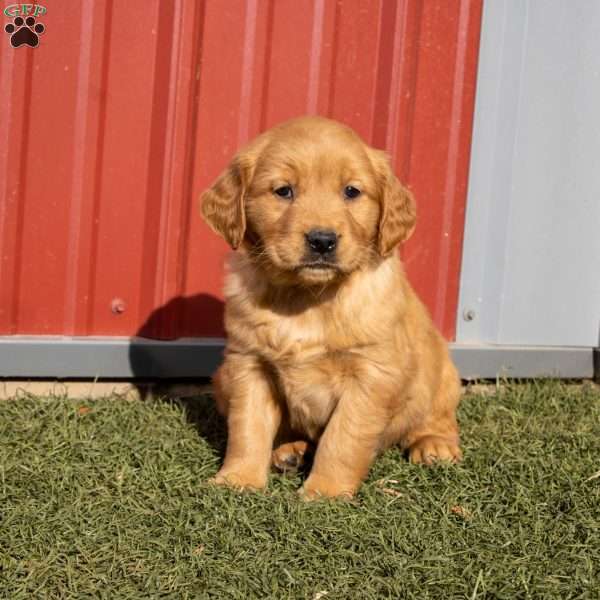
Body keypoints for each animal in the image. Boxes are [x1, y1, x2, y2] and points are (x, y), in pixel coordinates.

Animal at [200, 116, 460, 496]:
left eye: (351, 191)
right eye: (284, 191)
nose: (322, 241)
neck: (307, 298)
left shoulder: (371, 374)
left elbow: (342, 438)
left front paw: (325, 491)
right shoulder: (249, 364)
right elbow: (248, 428)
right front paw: (238, 479)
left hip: (441, 369)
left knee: (437, 414)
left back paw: (434, 444)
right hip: (222, 377)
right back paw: (289, 450)